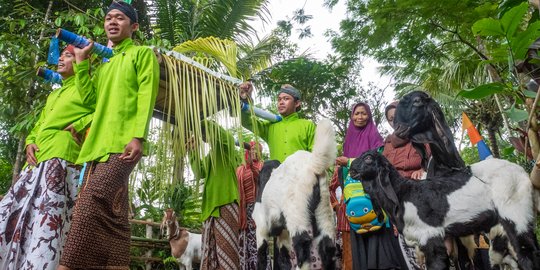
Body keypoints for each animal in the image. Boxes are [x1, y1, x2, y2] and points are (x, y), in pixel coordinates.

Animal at [253, 119, 338, 270]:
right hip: (324, 210)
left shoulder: (261, 223)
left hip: (296, 211)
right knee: (328, 247)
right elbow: (284, 257)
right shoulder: (283, 231)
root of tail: (313, 165)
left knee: (302, 244)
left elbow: (262, 253)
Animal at [348, 151, 536, 270]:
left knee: (528, 253)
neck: (403, 194)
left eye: (368, 158)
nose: (351, 169)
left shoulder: (430, 235)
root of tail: (519, 169)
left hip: (515, 211)